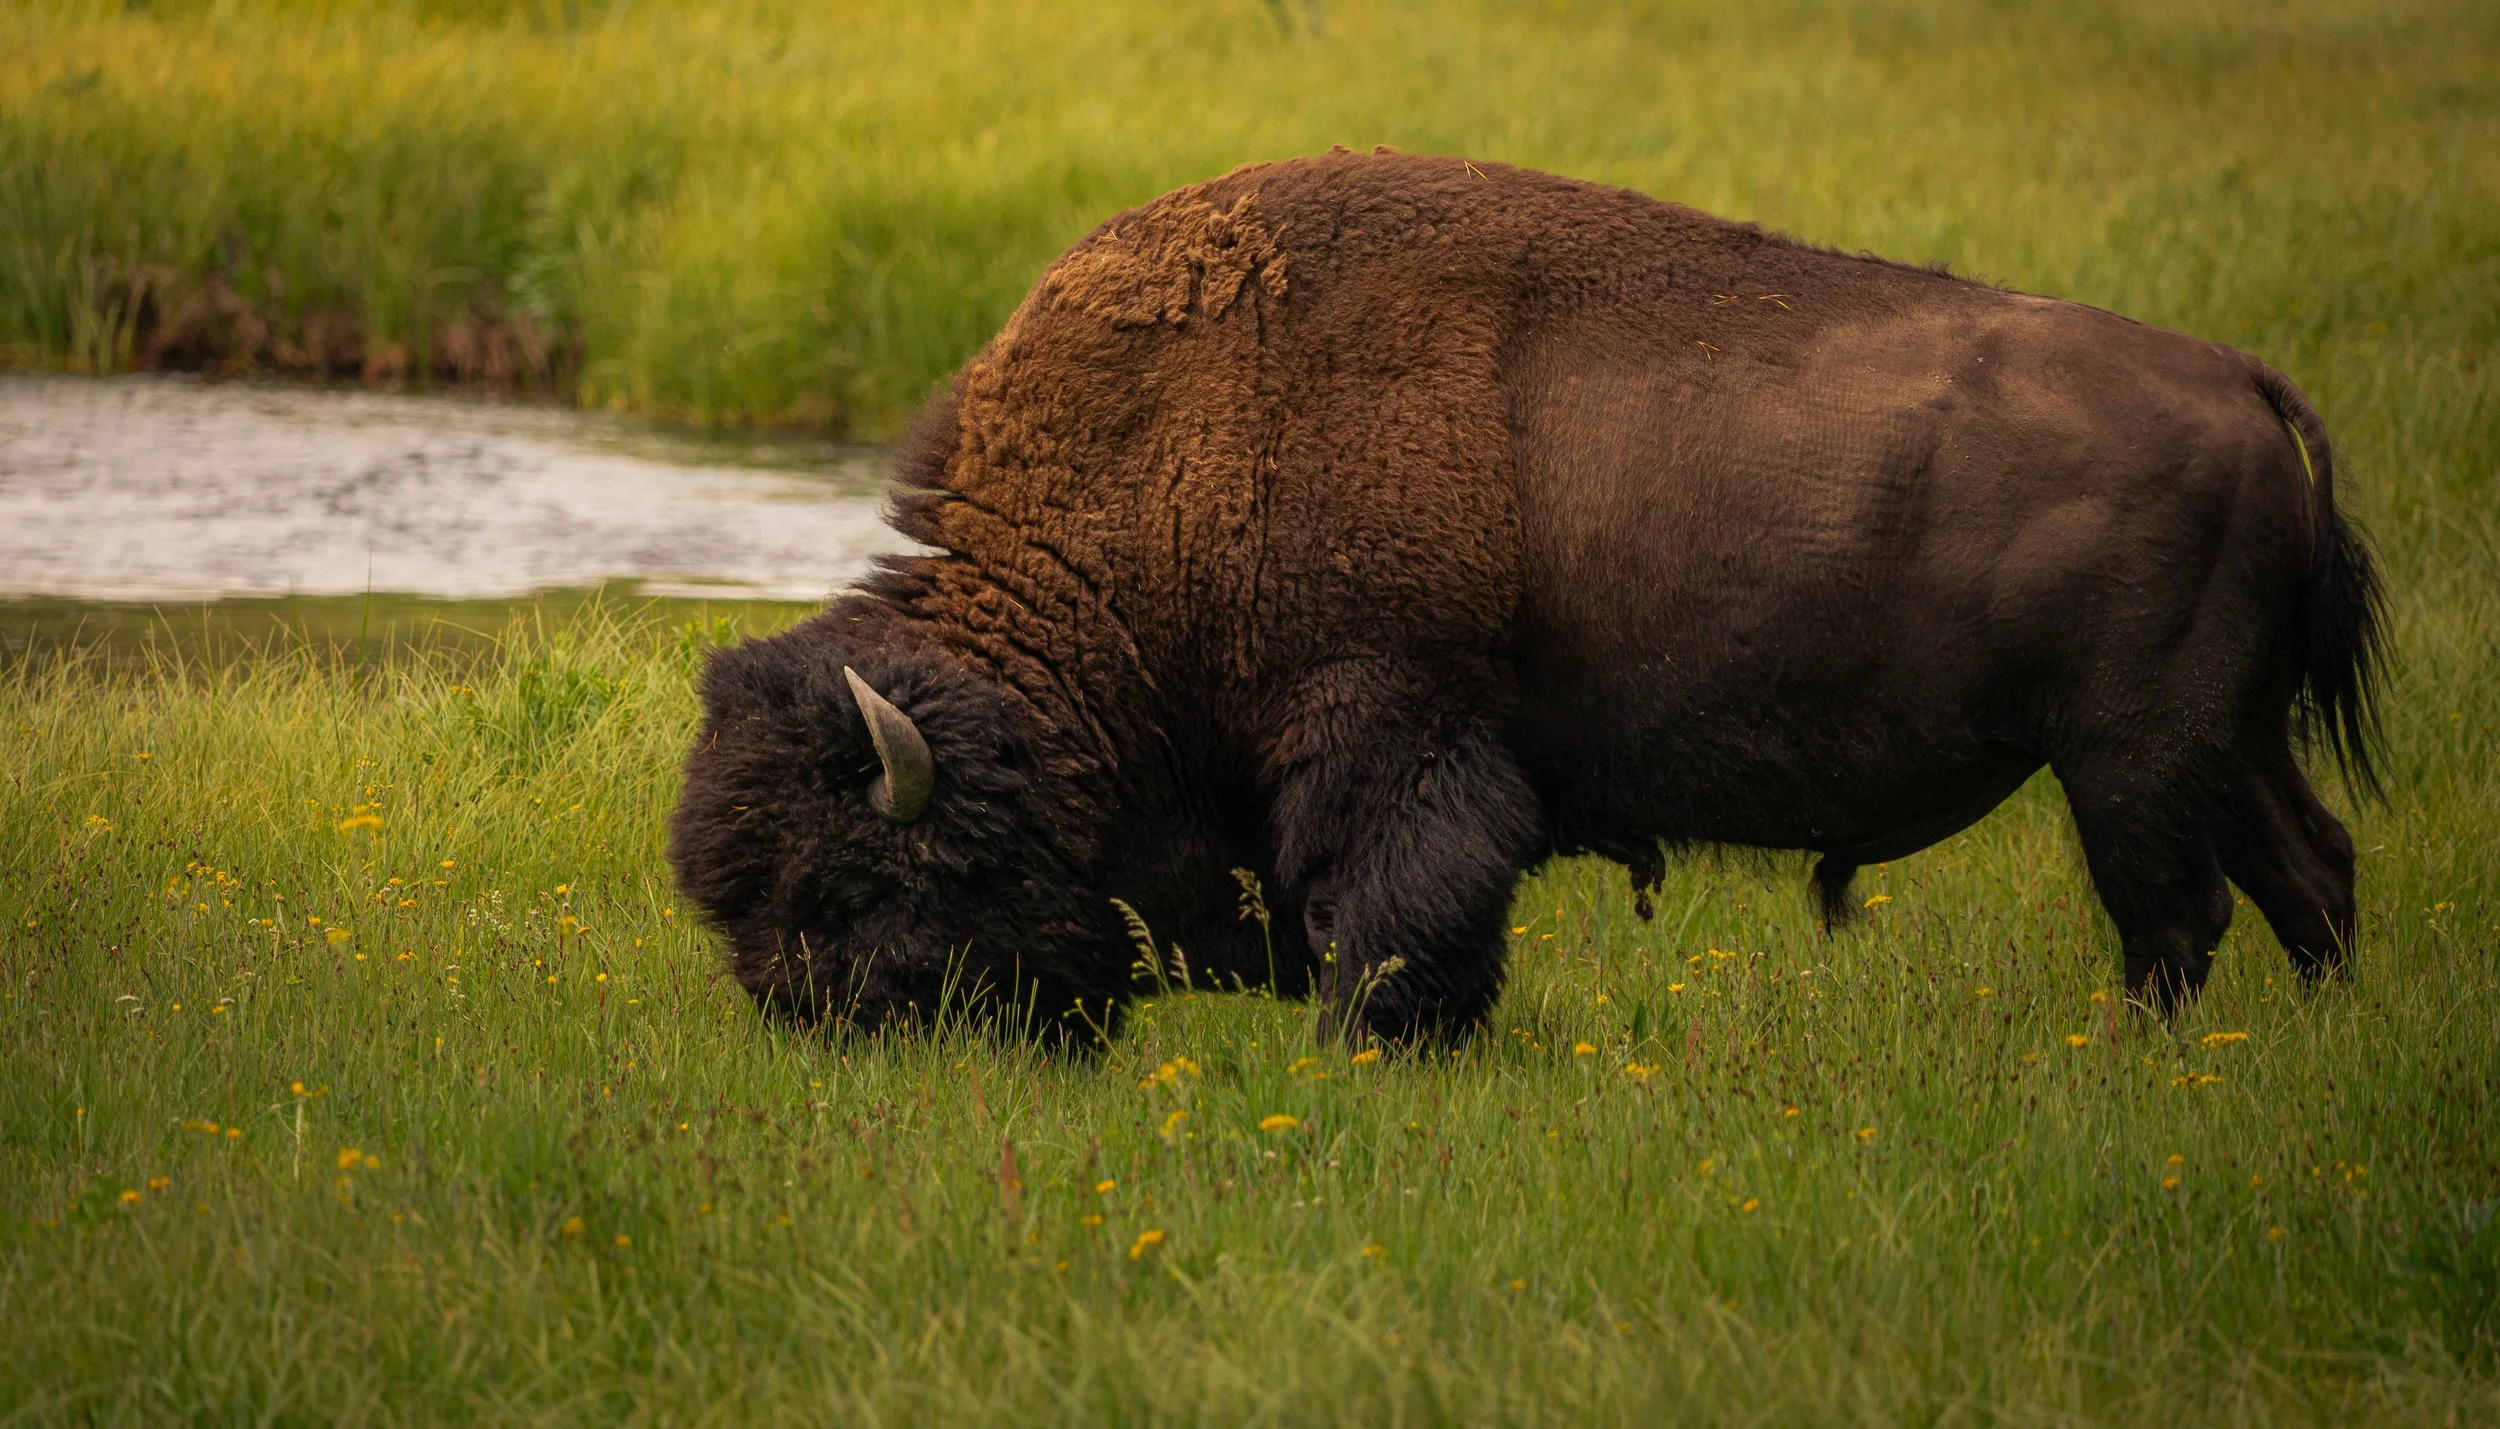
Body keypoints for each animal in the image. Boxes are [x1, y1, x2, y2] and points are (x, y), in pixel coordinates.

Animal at [669, 149, 2381, 1044]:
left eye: (850, 889)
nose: (814, 1025)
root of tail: (2244, 381)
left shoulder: (1392, 733)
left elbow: (1391, 916)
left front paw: (1367, 1051)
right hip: (2227, 743)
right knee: (2310, 874)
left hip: (2131, 755)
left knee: (2176, 914)